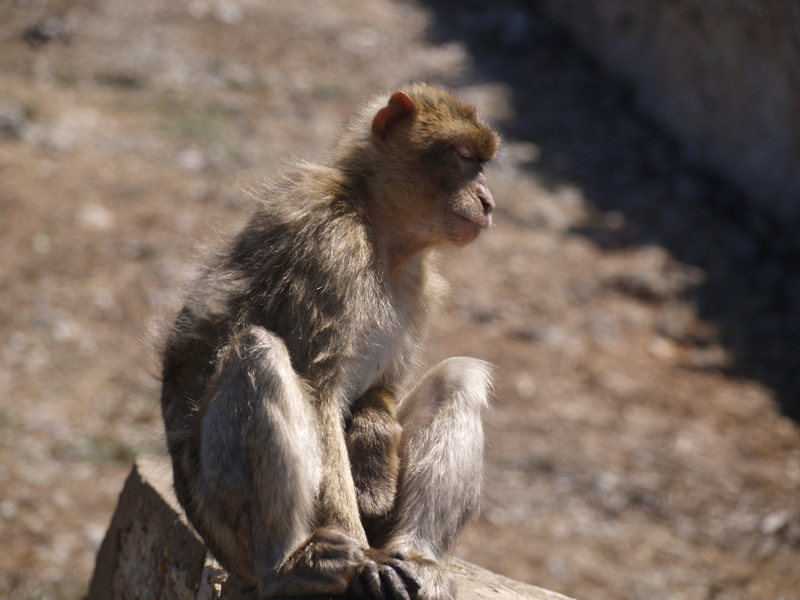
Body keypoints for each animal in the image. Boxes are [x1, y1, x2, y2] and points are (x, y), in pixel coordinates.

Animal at [159, 83, 500, 600]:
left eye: (481, 164)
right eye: (464, 157)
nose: (487, 199)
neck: (381, 231)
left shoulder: (422, 285)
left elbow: (381, 391)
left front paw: (374, 446)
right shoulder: (327, 241)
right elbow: (319, 391)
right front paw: (364, 563)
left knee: (460, 377)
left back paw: (418, 557)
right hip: (222, 524)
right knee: (259, 352)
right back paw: (288, 565)